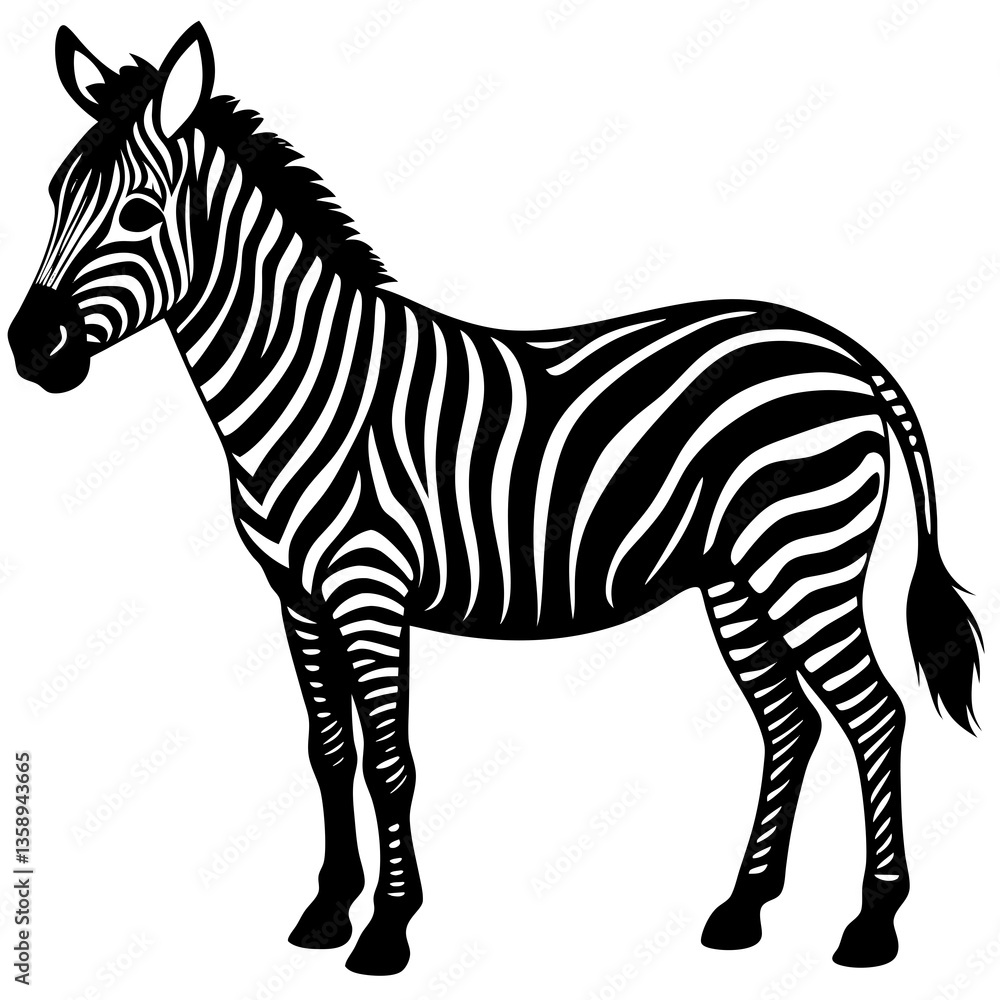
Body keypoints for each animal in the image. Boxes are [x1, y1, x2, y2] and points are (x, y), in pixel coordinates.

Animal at [8, 23, 981, 975]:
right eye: (53, 193)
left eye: (139, 212)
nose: (29, 345)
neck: (310, 385)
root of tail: (839, 348)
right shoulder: (298, 599)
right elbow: (329, 752)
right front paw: (327, 910)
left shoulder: (368, 589)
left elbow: (390, 760)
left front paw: (388, 930)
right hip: (737, 578)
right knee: (789, 723)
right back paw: (743, 910)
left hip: (803, 559)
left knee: (873, 716)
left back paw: (873, 925)